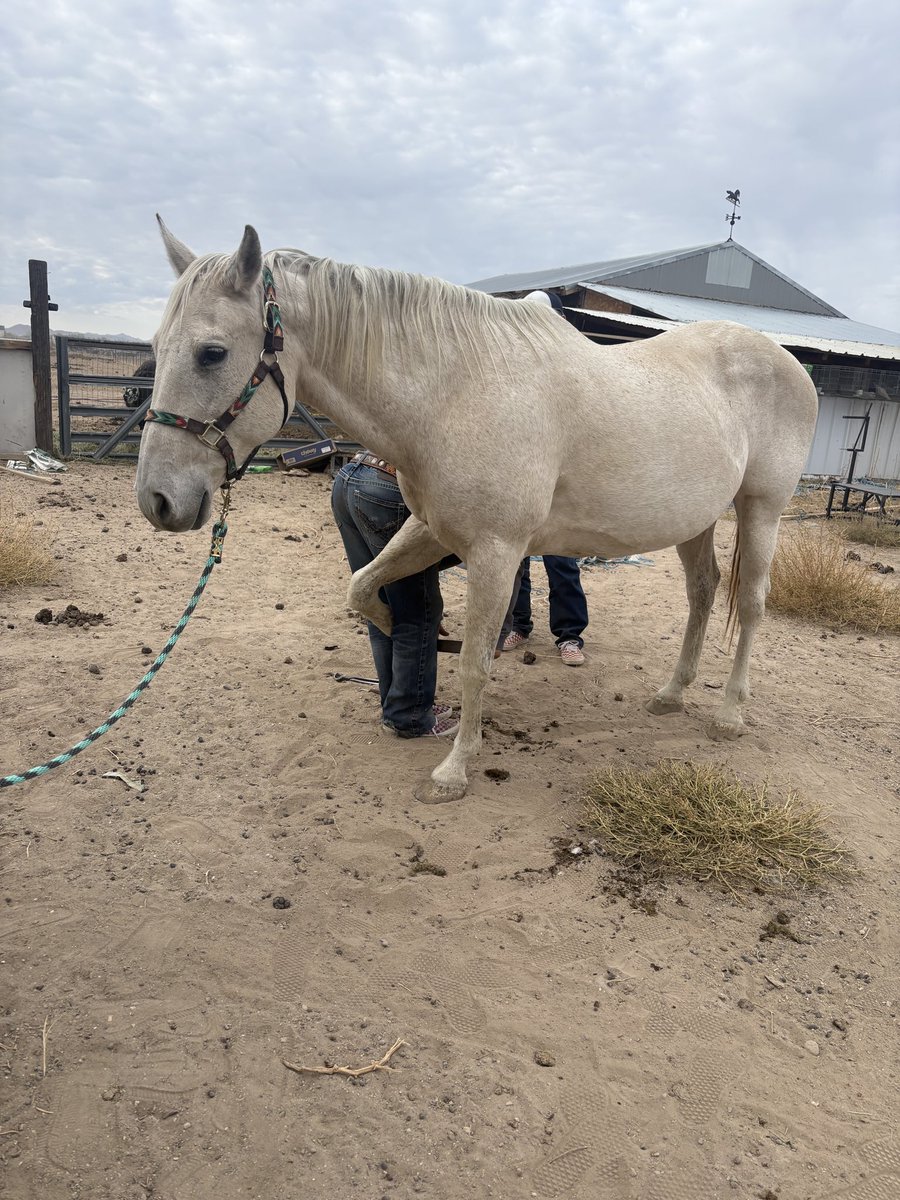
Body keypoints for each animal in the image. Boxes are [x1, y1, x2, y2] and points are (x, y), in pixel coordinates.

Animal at [135, 219, 818, 804]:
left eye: (212, 353)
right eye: (158, 346)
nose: (158, 500)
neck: (456, 390)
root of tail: (787, 361)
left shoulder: (495, 551)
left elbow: (473, 666)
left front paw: (455, 771)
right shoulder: (432, 532)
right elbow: (361, 586)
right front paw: (393, 624)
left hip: (761, 511)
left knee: (750, 605)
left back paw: (729, 713)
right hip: (695, 522)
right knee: (703, 594)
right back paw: (672, 694)